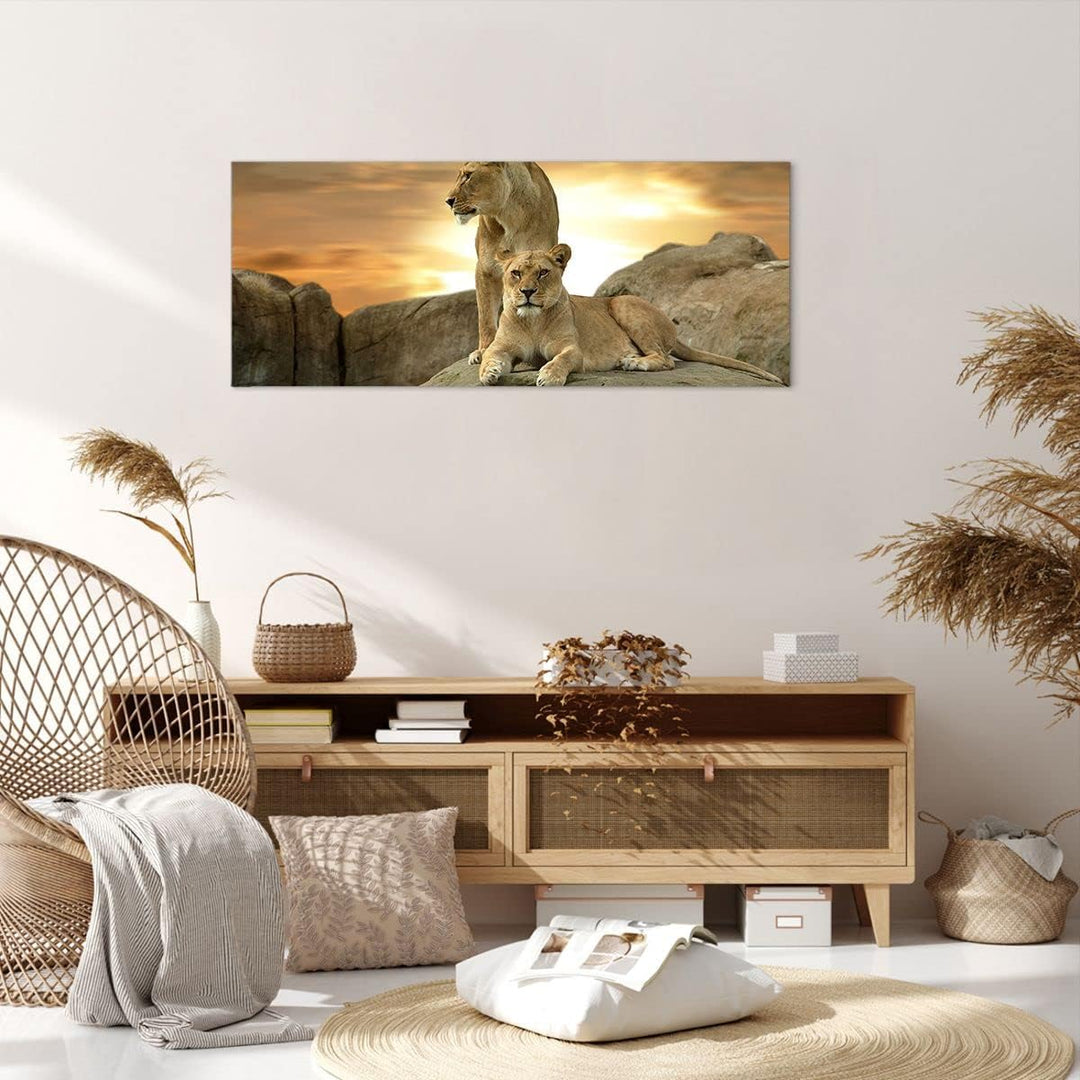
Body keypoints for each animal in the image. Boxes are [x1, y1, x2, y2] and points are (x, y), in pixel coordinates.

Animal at [445, 162, 559, 366]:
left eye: (468, 175)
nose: (448, 201)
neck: (509, 214)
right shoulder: (486, 269)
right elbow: (485, 315)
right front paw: (484, 350)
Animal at [477, 245, 785, 387]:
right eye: (516, 273)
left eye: (542, 272)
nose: (527, 291)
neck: (533, 321)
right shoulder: (502, 346)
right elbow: (491, 355)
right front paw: (488, 372)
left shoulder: (573, 350)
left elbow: (561, 360)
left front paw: (549, 376)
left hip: (624, 304)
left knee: (665, 360)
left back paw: (632, 362)